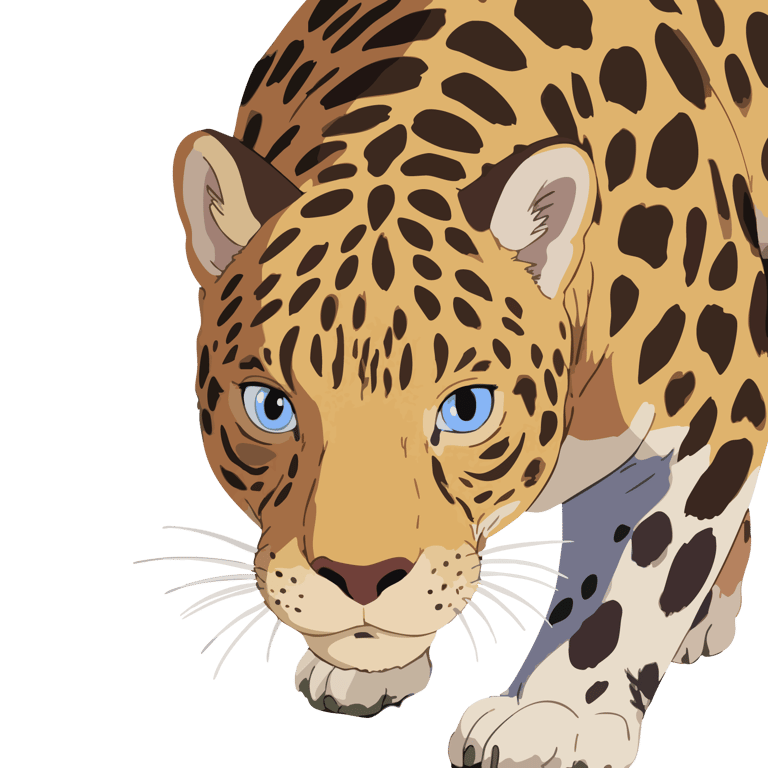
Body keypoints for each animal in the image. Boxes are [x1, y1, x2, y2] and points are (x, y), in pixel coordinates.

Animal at [164, 0, 768, 765]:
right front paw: (366, 668)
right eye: (270, 407)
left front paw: (554, 714)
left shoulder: (709, 416)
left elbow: (634, 575)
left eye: (467, 409)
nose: (360, 578)